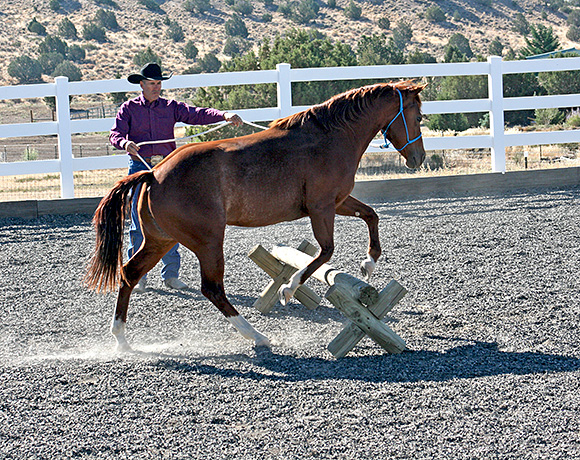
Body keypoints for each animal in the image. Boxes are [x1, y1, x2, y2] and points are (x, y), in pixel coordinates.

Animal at [84, 80, 426, 352]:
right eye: (419, 116)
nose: (418, 158)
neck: (329, 139)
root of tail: (153, 174)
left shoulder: (338, 202)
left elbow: (371, 215)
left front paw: (368, 264)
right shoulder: (322, 208)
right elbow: (326, 251)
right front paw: (289, 289)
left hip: (161, 239)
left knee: (129, 273)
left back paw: (121, 339)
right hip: (208, 241)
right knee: (212, 288)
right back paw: (257, 335)